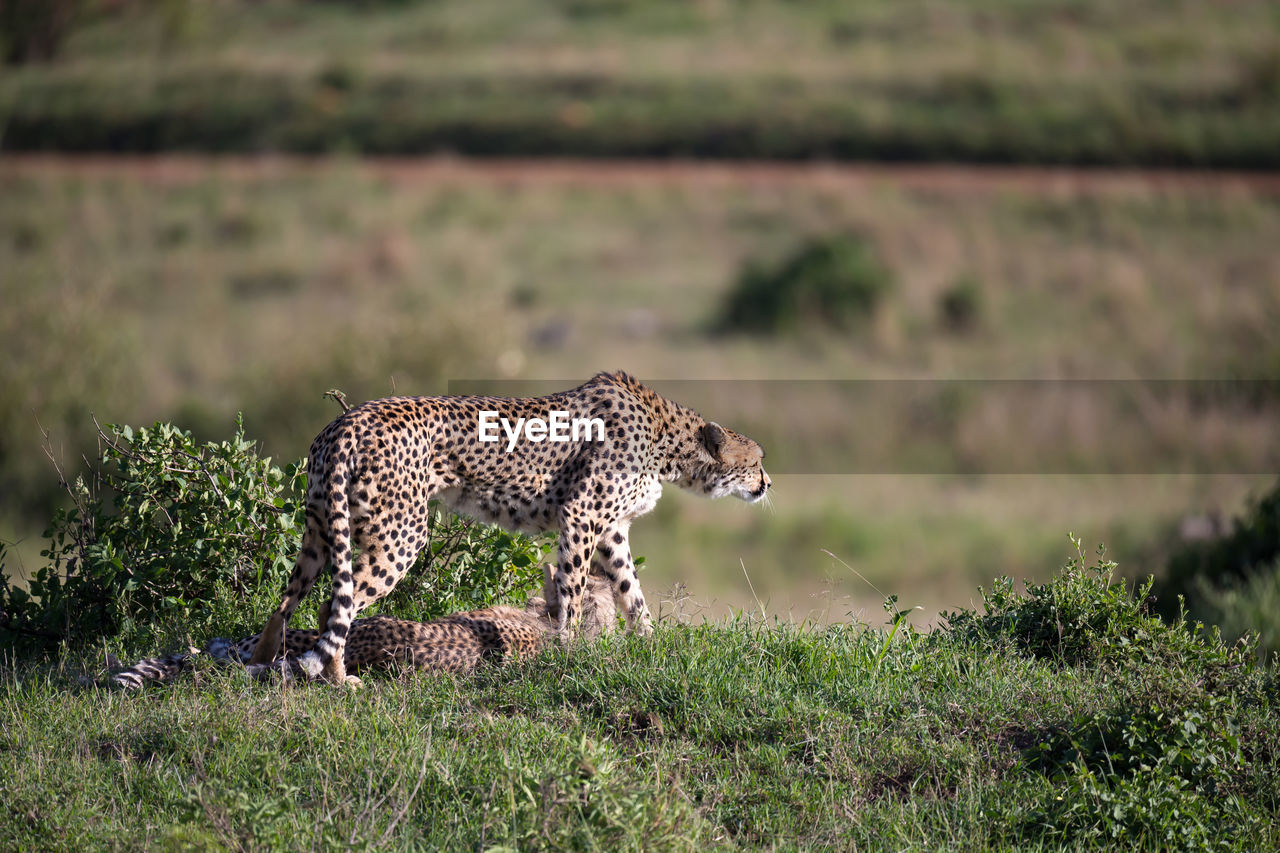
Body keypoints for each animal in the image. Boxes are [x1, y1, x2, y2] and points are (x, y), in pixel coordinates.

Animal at [250, 368, 768, 681]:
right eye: (757, 460)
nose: (766, 484)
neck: (668, 441)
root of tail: (347, 422)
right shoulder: (582, 517)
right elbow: (572, 594)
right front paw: (568, 652)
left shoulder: (612, 530)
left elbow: (631, 592)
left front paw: (650, 645)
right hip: (400, 535)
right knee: (334, 607)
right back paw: (340, 682)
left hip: (320, 529)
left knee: (285, 603)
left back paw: (259, 666)